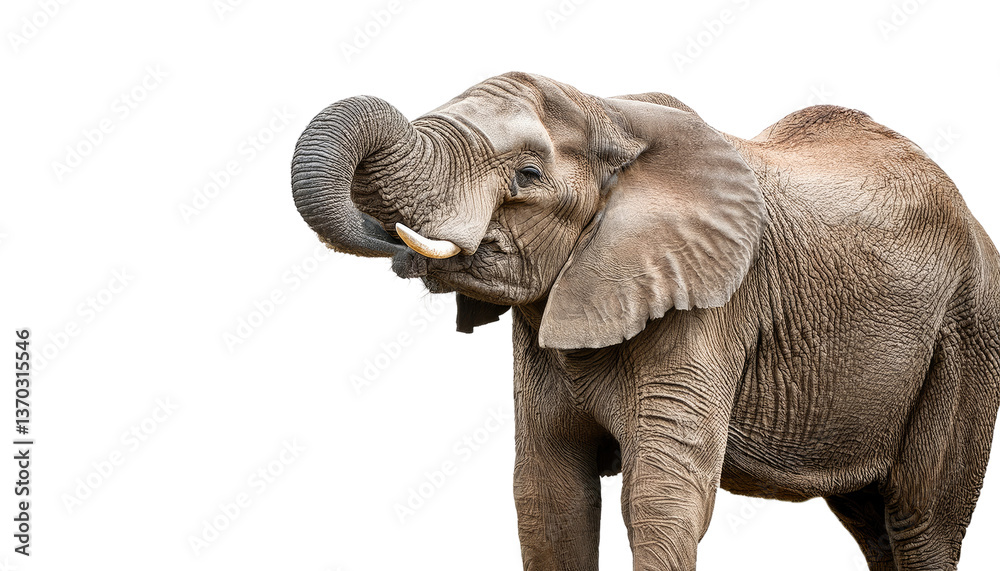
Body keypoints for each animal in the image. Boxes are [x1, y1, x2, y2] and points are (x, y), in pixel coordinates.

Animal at [290, 72, 1000, 570]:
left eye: (527, 173)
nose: (394, 243)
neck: (611, 113)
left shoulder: (712, 301)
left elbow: (659, 498)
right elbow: (549, 497)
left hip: (968, 333)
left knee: (920, 520)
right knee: (873, 523)